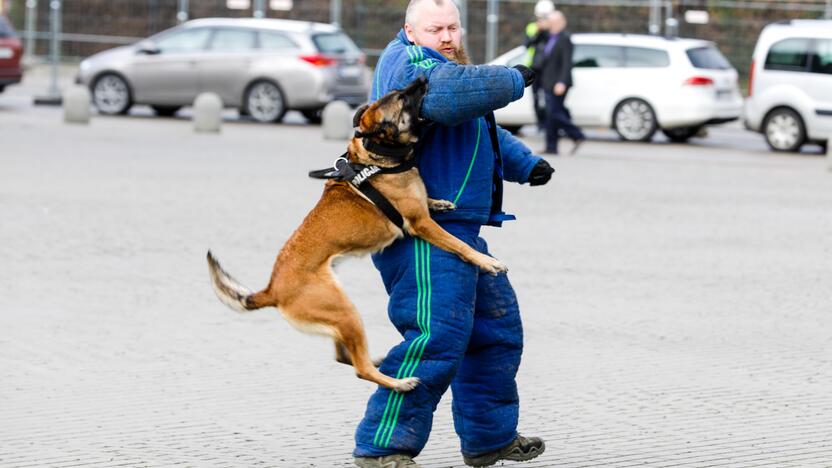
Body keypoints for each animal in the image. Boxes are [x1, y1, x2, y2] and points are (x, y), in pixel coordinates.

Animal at [208, 78, 508, 394]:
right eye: (403, 98)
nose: (422, 80)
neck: (377, 158)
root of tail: (271, 289)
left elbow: (429, 202)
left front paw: (439, 202)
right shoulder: (421, 224)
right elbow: (459, 244)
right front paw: (487, 262)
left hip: (340, 317)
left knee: (344, 357)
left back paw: (377, 360)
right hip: (345, 311)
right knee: (359, 369)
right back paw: (398, 382)